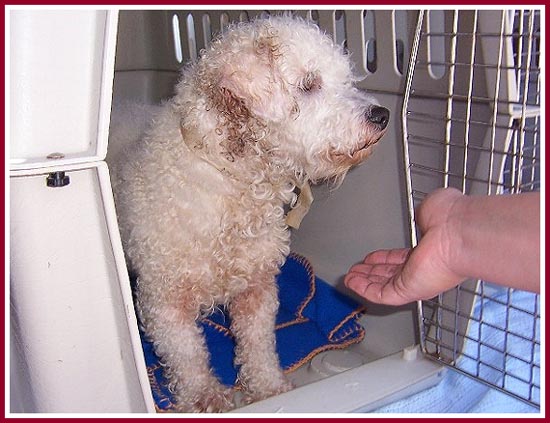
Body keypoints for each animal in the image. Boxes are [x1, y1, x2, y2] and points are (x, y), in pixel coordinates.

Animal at [110, 16, 390, 414]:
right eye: (309, 84)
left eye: (345, 77)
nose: (381, 115)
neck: (235, 183)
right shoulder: (164, 301)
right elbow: (188, 356)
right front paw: (204, 396)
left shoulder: (257, 287)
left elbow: (258, 346)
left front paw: (269, 388)